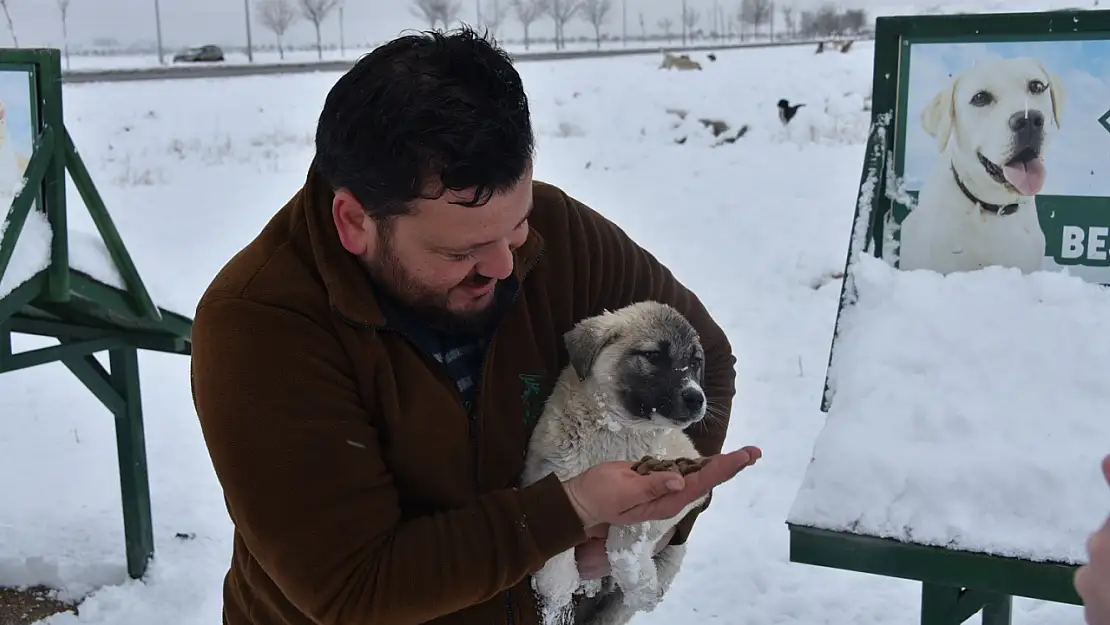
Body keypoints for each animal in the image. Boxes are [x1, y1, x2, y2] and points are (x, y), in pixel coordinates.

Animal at [521, 299, 710, 625]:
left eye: (696, 361)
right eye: (653, 355)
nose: (696, 399)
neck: (618, 433)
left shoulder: (684, 482)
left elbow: (633, 531)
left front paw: (640, 581)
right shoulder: (546, 469)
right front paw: (558, 588)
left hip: (669, 560)